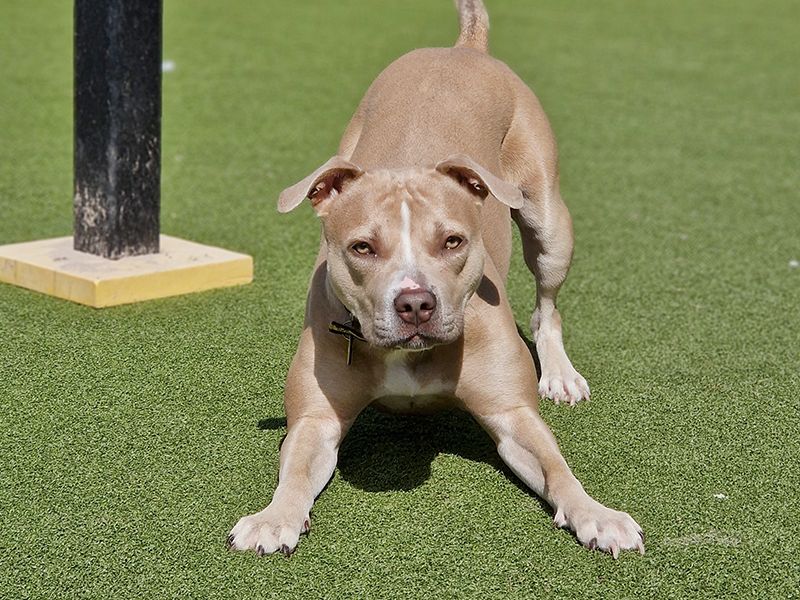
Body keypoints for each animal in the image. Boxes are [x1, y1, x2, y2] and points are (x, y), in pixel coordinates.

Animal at [230, 1, 644, 556]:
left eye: (452, 241)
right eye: (362, 247)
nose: (415, 304)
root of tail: (463, 49)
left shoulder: (513, 413)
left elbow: (559, 468)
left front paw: (596, 514)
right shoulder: (315, 420)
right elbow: (294, 472)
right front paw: (274, 518)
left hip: (549, 226)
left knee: (547, 306)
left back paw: (559, 373)